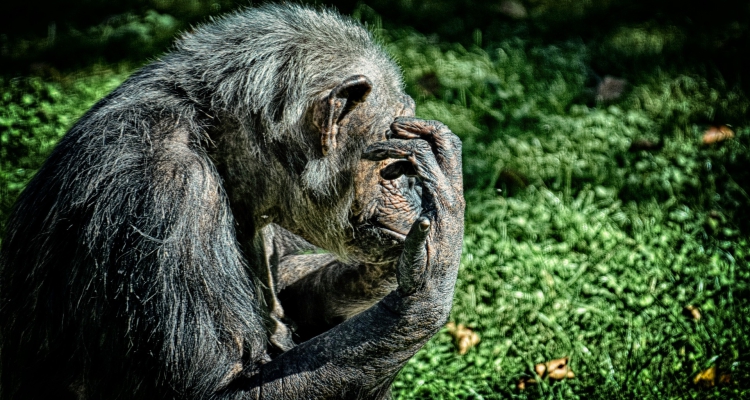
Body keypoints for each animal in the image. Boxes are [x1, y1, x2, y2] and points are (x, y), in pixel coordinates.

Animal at [0, 4, 464, 399]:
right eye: (395, 160)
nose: (412, 188)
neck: (214, 141)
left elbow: (289, 280)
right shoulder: (169, 192)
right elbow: (223, 389)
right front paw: (434, 263)